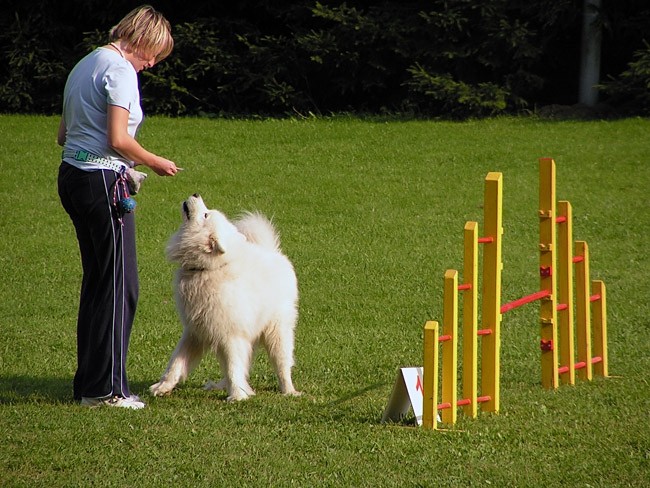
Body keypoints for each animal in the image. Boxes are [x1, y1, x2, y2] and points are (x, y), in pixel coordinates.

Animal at [149, 193, 298, 400]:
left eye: (205, 215)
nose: (196, 194)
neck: (207, 269)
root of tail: (273, 252)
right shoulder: (195, 332)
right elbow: (176, 362)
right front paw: (163, 386)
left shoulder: (231, 335)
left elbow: (233, 367)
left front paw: (237, 395)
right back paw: (222, 385)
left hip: (277, 331)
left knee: (282, 364)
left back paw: (289, 391)